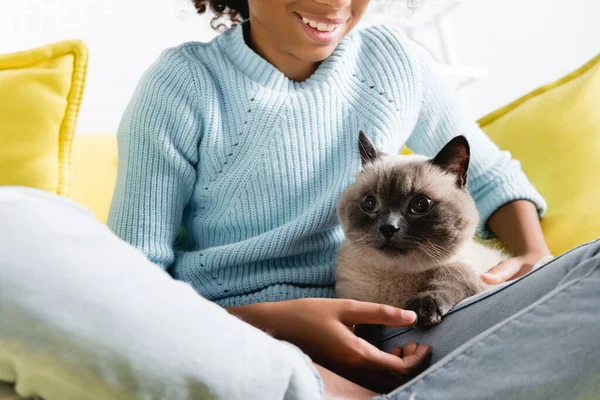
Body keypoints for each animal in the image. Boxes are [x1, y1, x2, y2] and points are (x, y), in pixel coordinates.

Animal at [332, 131, 506, 328]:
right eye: (369, 203)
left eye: (421, 205)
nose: (388, 228)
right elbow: (363, 321)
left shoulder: (474, 275)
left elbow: (453, 274)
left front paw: (423, 311)